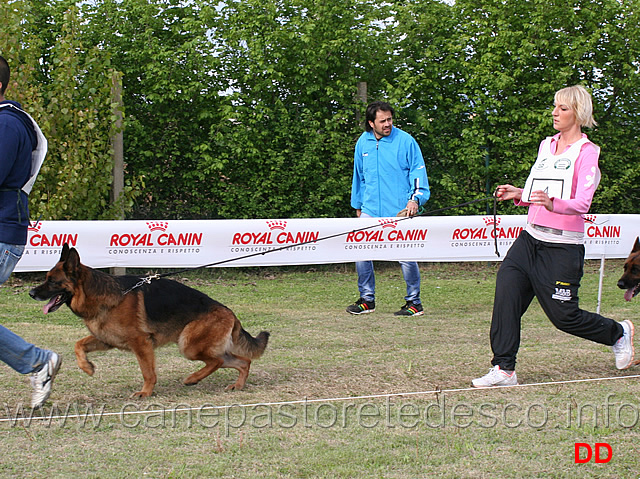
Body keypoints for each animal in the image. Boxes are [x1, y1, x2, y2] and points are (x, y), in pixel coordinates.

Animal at [29, 244, 270, 398]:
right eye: (46, 278)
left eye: (52, 281)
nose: (31, 293)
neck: (104, 295)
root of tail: (230, 313)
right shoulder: (106, 340)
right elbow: (78, 345)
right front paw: (87, 367)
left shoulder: (141, 343)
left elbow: (148, 372)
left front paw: (145, 392)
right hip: (201, 347)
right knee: (242, 361)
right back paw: (237, 385)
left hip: (188, 346)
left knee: (217, 361)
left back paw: (192, 378)